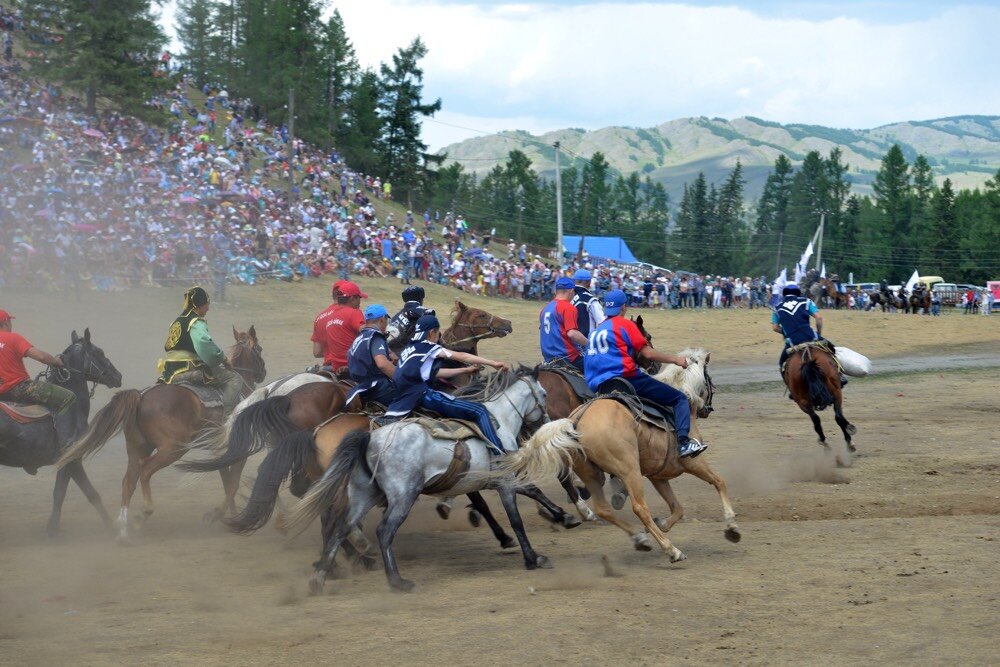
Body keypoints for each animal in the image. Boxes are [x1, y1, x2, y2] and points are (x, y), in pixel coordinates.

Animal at [0, 328, 122, 536]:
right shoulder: (72, 457)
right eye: (99, 352)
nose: (118, 376)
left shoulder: (68, 460)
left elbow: (73, 492)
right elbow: (78, 493)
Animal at [54, 328, 266, 544]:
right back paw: (142, 514)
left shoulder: (220, 451)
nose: (263, 372)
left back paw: (122, 530)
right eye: (259, 349)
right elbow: (232, 485)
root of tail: (140, 397)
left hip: (138, 447)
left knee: (129, 481)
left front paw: (229, 514)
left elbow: (227, 482)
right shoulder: (241, 450)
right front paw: (218, 515)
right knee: (145, 470)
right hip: (173, 449)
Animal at [282, 370, 552, 596]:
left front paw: (557, 516)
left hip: (362, 494)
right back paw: (394, 580)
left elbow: (523, 494)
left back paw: (323, 574)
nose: (545, 421)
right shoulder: (504, 482)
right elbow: (516, 518)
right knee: (381, 530)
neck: (499, 420)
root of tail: (368, 439)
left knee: (342, 525)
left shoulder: (481, 481)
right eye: (544, 394)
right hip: (402, 496)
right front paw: (532, 557)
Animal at [490, 354, 736, 564]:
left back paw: (639, 538)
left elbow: (678, 508)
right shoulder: (692, 462)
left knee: (602, 508)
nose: (707, 409)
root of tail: (574, 421)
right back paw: (671, 549)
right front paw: (732, 526)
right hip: (630, 470)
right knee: (639, 507)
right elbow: (719, 482)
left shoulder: (658, 475)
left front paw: (662, 524)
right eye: (709, 381)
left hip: (592, 473)